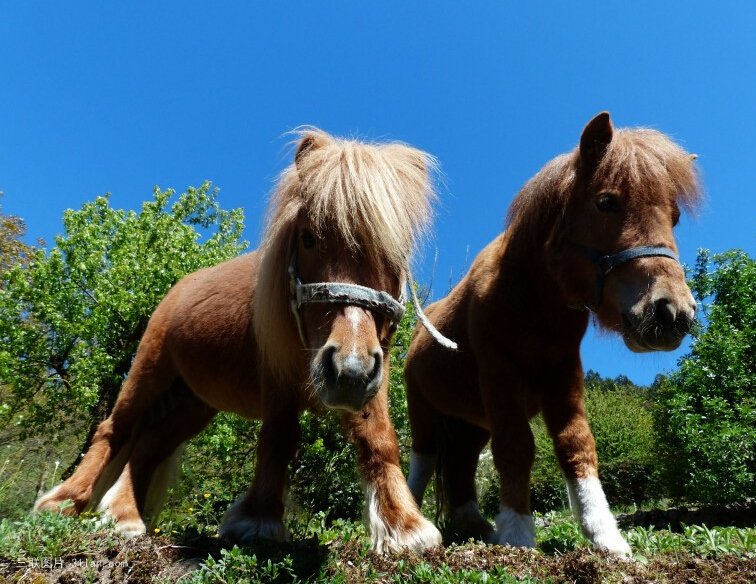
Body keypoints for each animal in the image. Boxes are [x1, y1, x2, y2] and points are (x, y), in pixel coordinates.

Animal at [35, 126, 442, 552]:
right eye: (309, 238)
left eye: (395, 250)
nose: (349, 370)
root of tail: (179, 287)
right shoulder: (277, 378)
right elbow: (279, 438)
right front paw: (257, 520)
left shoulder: (372, 374)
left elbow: (379, 440)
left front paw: (402, 524)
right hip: (151, 370)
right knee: (115, 429)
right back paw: (65, 502)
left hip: (192, 402)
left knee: (149, 446)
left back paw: (125, 515)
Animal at [404, 112, 700, 556]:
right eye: (606, 202)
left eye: (675, 217)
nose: (674, 312)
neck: (531, 301)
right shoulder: (500, 373)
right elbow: (516, 446)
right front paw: (517, 533)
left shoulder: (563, 375)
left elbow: (576, 443)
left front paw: (604, 535)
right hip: (422, 410)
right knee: (421, 462)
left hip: (471, 421)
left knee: (460, 464)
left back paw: (473, 524)